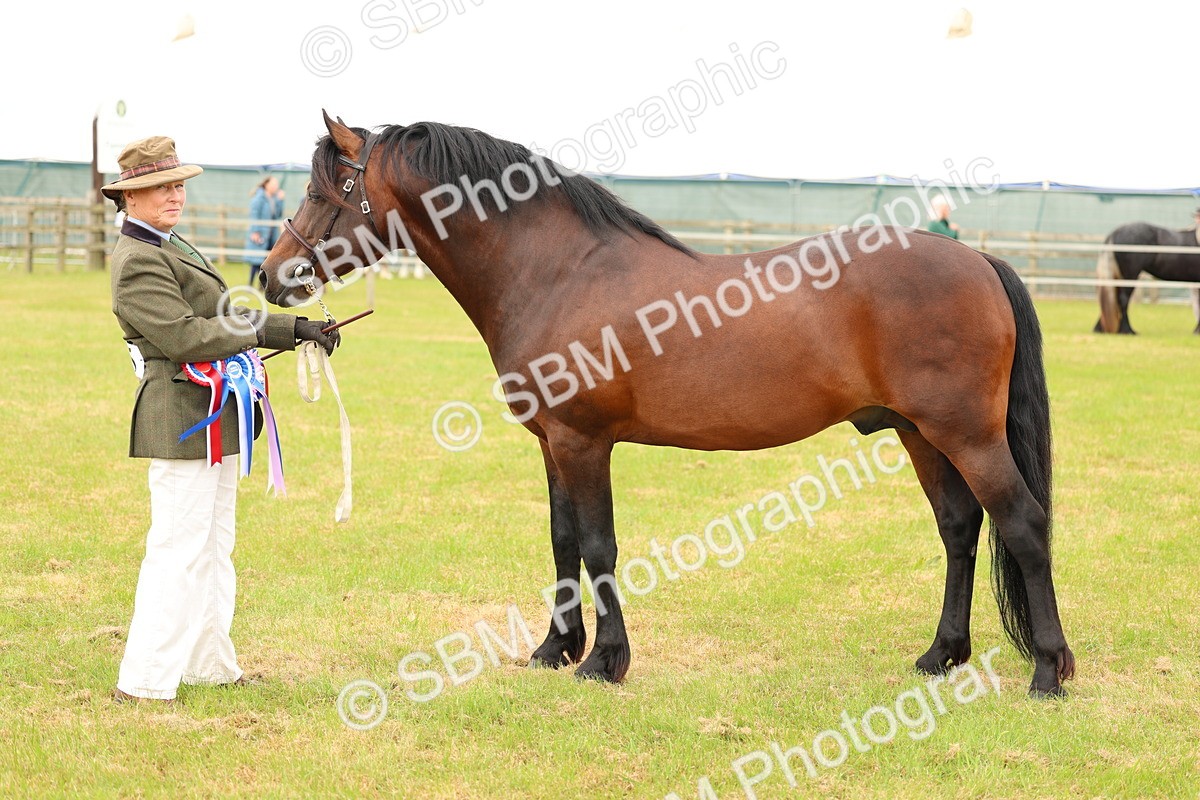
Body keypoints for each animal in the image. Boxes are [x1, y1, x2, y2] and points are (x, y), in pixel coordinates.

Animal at [260, 112, 1076, 697]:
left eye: (325, 191)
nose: (273, 276)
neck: (556, 272)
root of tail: (978, 260)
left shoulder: (584, 442)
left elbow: (598, 546)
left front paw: (605, 662)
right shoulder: (553, 444)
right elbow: (562, 541)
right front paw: (555, 650)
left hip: (966, 434)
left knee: (1023, 525)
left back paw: (1047, 672)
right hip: (920, 434)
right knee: (959, 527)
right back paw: (942, 655)